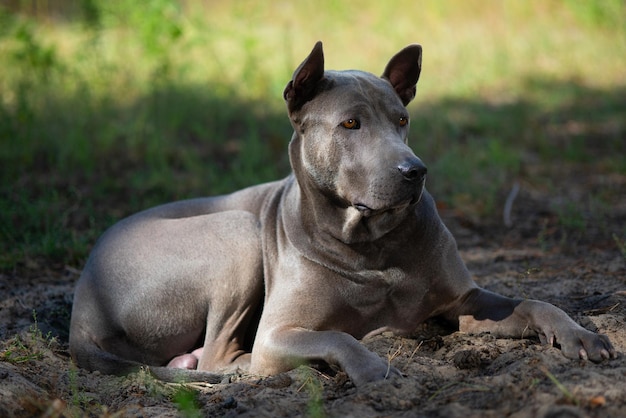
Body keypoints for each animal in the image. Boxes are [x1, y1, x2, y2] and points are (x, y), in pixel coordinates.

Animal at [69, 41, 616, 386]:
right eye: (350, 124)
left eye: (402, 119)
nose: (415, 170)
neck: (370, 243)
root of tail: (83, 304)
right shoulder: (278, 333)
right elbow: (335, 334)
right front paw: (373, 366)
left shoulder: (465, 301)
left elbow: (536, 303)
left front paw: (581, 335)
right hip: (236, 231)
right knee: (220, 357)